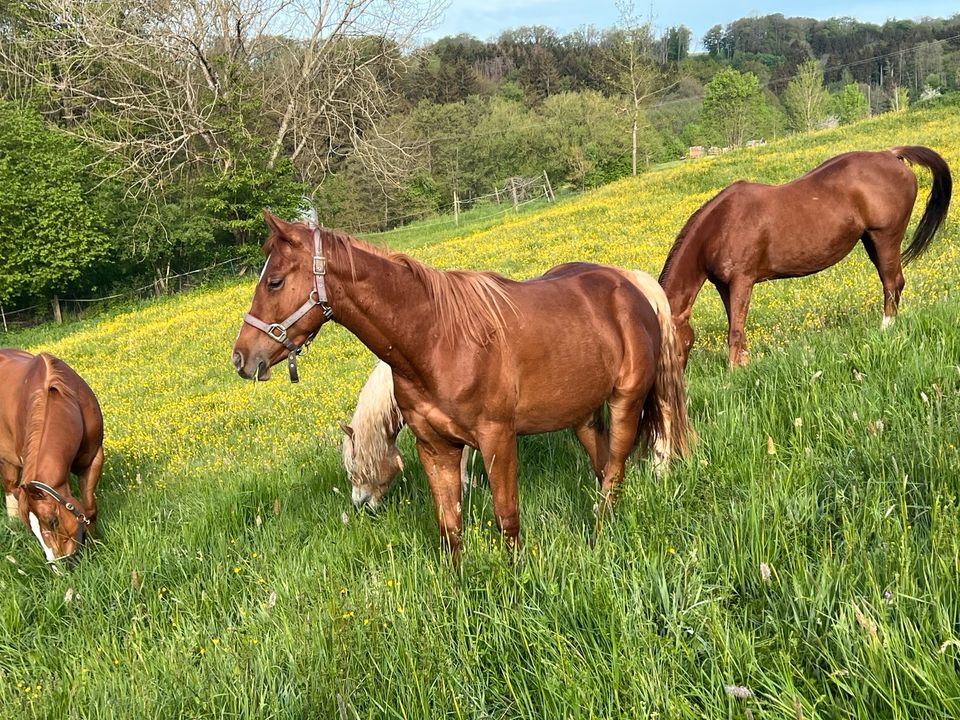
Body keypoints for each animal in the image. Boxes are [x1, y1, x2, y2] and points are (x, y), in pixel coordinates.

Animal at [0, 348, 104, 564]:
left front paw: (94, 543)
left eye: (53, 521)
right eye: (32, 531)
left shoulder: (94, 458)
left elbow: (89, 507)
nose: (60, 567)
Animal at [660, 148, 952, 372]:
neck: (720, 225)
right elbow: (736, 325)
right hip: (871, 240)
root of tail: (891, 155)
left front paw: (733, 372)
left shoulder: (742, 280)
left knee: (892, 283)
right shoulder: (725, 285)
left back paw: (885, 329)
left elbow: (735, 330)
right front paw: (744, 364)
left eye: (681, 344)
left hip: (886, 237)